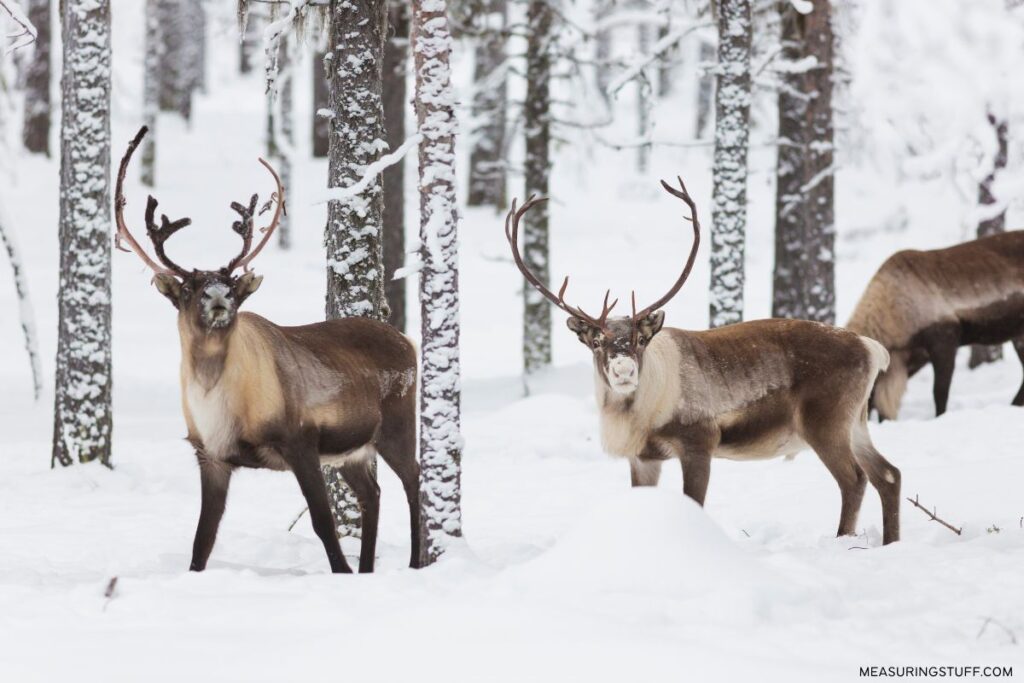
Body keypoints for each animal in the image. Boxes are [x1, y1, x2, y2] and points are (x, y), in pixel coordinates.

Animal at [114, 126, 421, 573]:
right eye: (189, 289)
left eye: (231, 285)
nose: (220, 295)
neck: (219, 399)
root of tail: (407, 340)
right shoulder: (210, 456)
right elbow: (202, 540)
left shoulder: (300, 442)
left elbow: (322, 522)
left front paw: (341, 572)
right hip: (351, 452)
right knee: (373, 494)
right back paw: (368, 569)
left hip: (395, 426)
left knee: (413, 479)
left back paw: (416, 561)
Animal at [505, 178, 901, 545]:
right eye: (596, 341)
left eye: (639, 340)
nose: (623, 370)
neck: (640, 413)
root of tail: (871, 348)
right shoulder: (644, 457)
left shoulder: (699, 442)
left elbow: (694, 503)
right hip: (856, 423)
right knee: (888, 475)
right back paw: (889, 541)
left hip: (826, 422)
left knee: (854, 479)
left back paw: (843, 541)